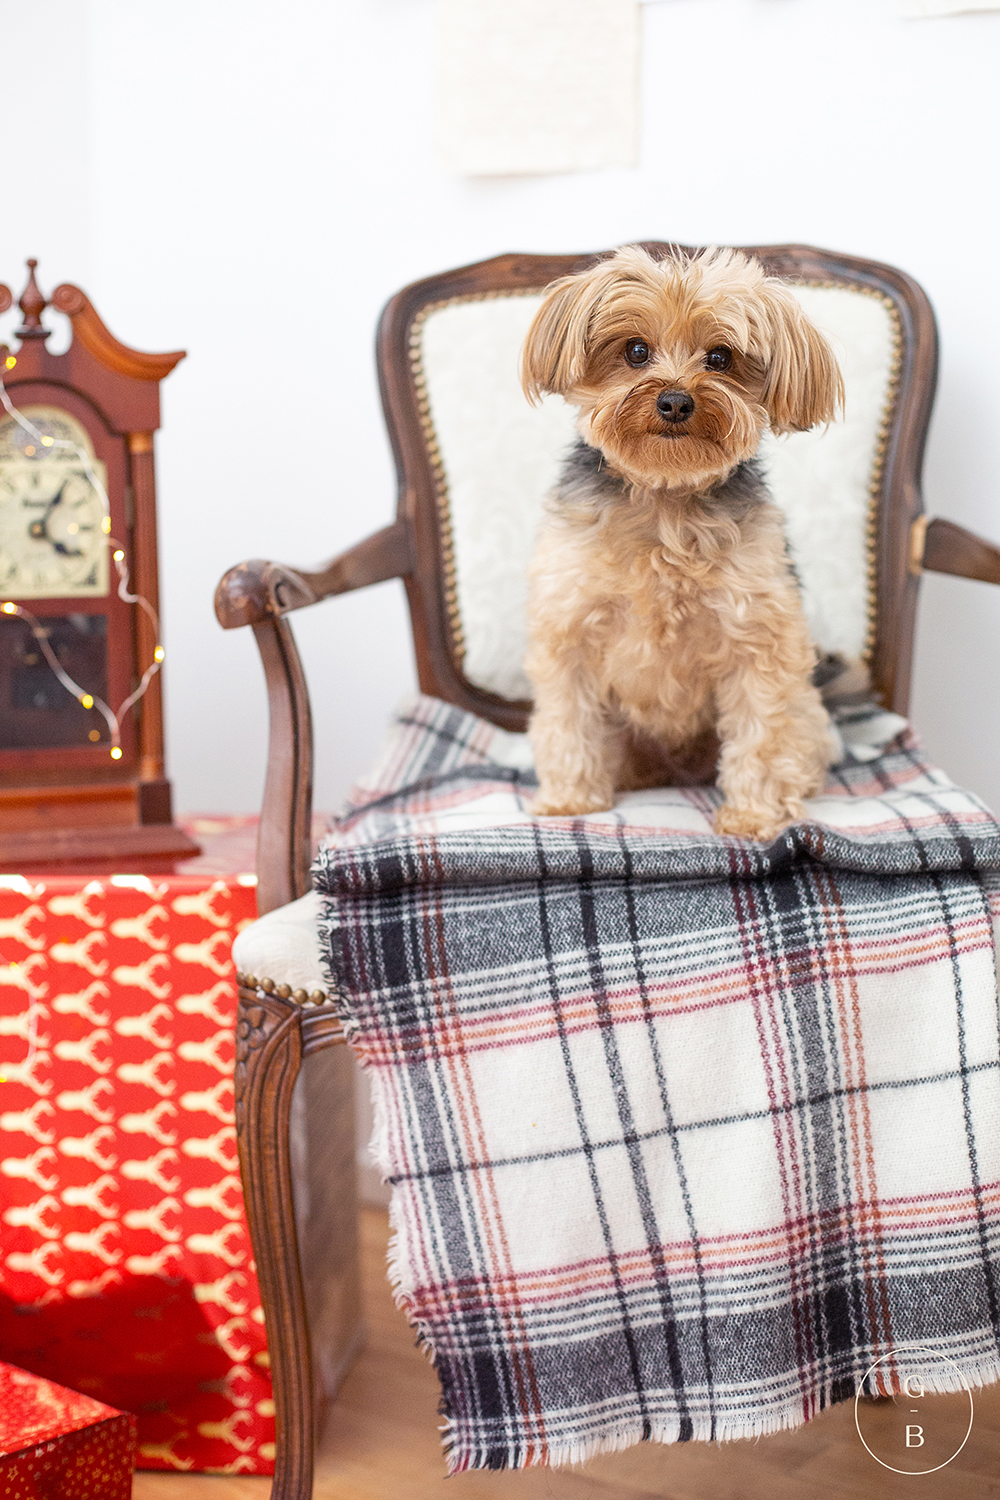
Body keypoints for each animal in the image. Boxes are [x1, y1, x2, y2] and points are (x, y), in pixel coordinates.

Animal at [520, 244, 845, 843]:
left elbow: (763, 732)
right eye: (635, 350)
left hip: (809, 712)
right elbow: (568, 719)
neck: (665, 498)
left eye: (720, 357)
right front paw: (569, 800)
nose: (674, 401)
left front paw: (754, 815)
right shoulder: (568, 627)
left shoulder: (758, 637)